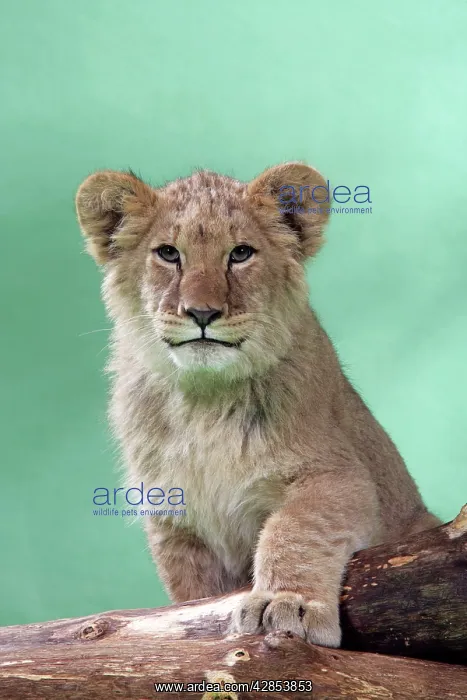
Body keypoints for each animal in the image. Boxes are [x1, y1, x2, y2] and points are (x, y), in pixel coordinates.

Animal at [75, 162, 440, 647]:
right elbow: (191, 592)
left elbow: (293, 529)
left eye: (241, 253)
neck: (204, 398)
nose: (202, 313)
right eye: (168, 253)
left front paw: (286, 603)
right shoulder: (174, 520)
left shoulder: (339, 474)